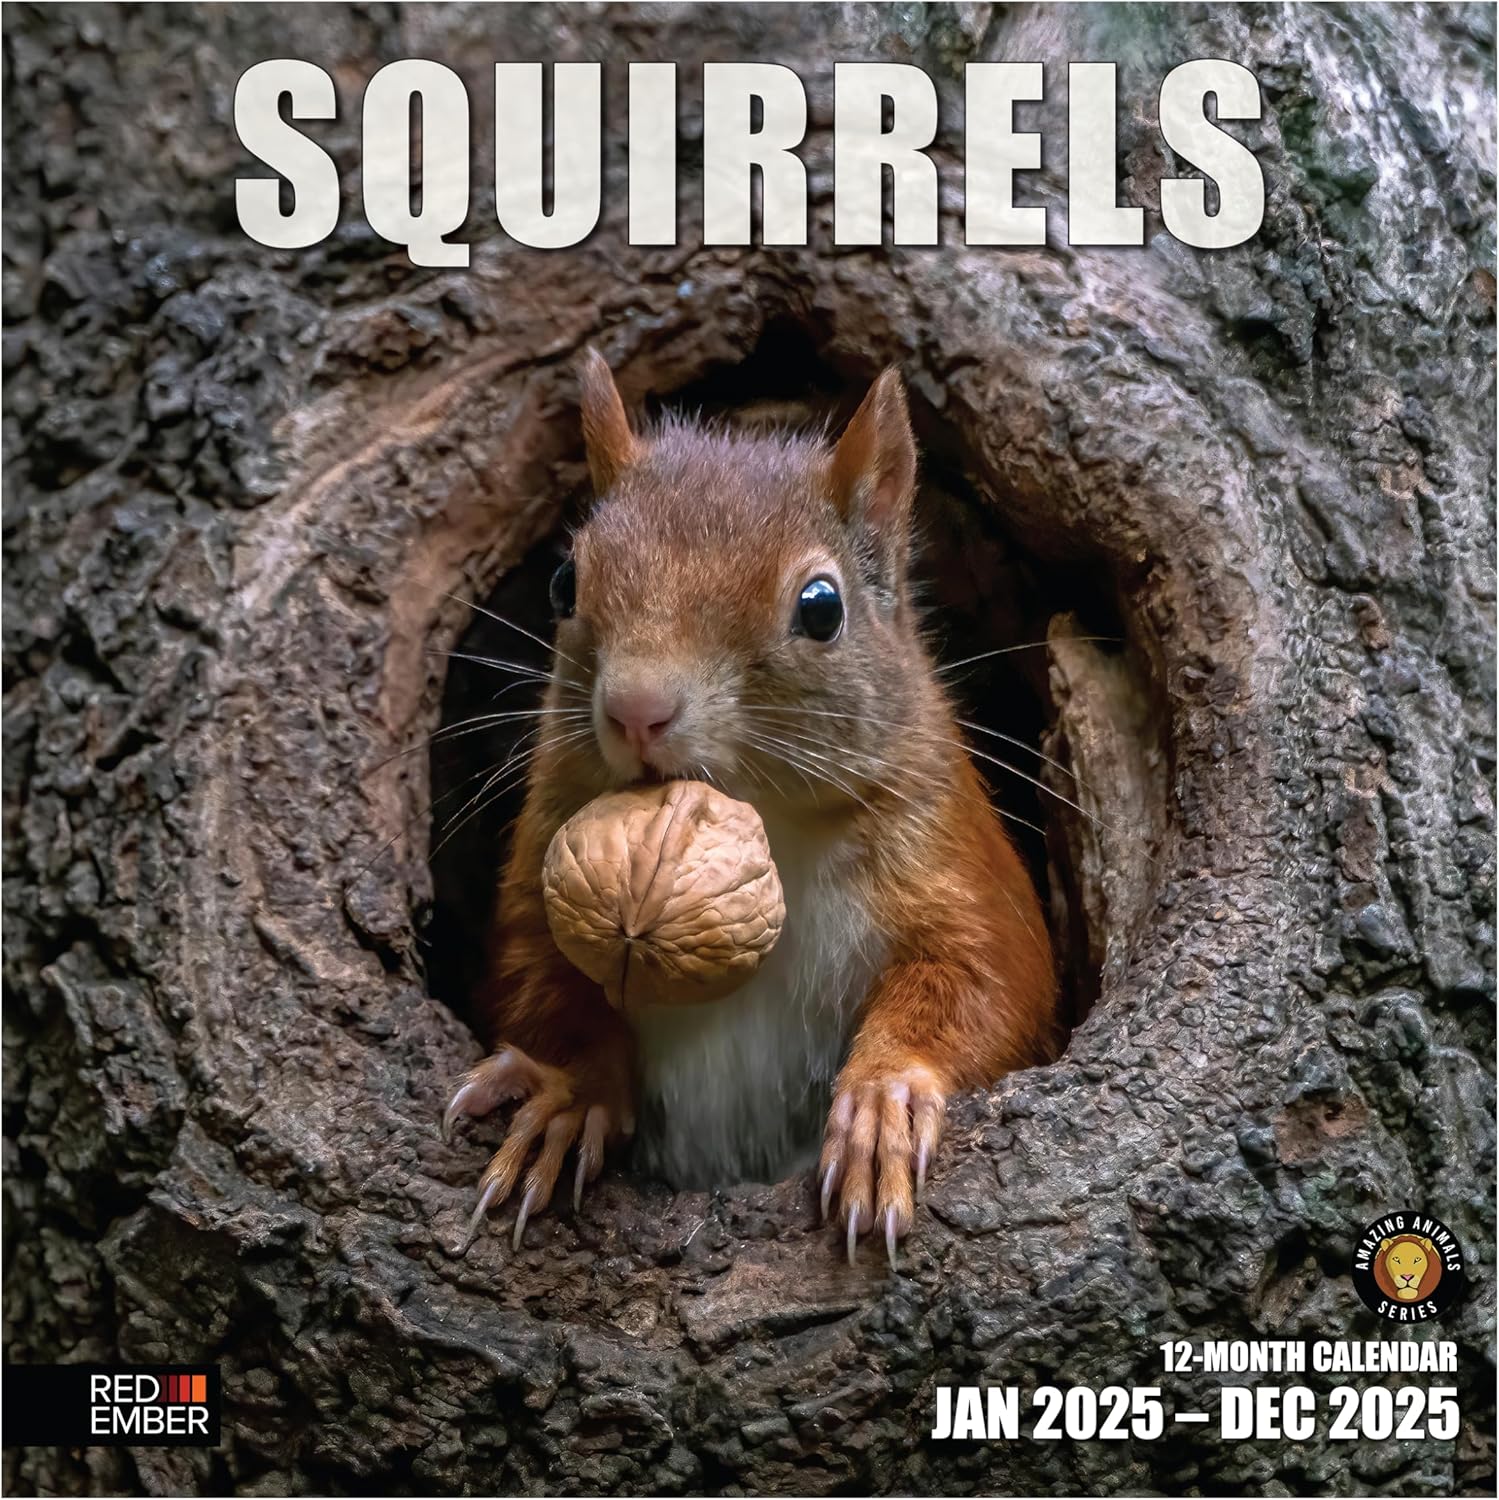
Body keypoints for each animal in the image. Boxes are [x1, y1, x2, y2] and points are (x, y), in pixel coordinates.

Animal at [443, 349, 1058, 1264]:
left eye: (821, 607)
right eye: (563, 581)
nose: (636, 709)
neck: (768, 820)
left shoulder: (949, 852)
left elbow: (990, 979)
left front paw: (882, 1102)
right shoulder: (543, 850)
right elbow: (535, 980)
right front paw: (565, 1096)